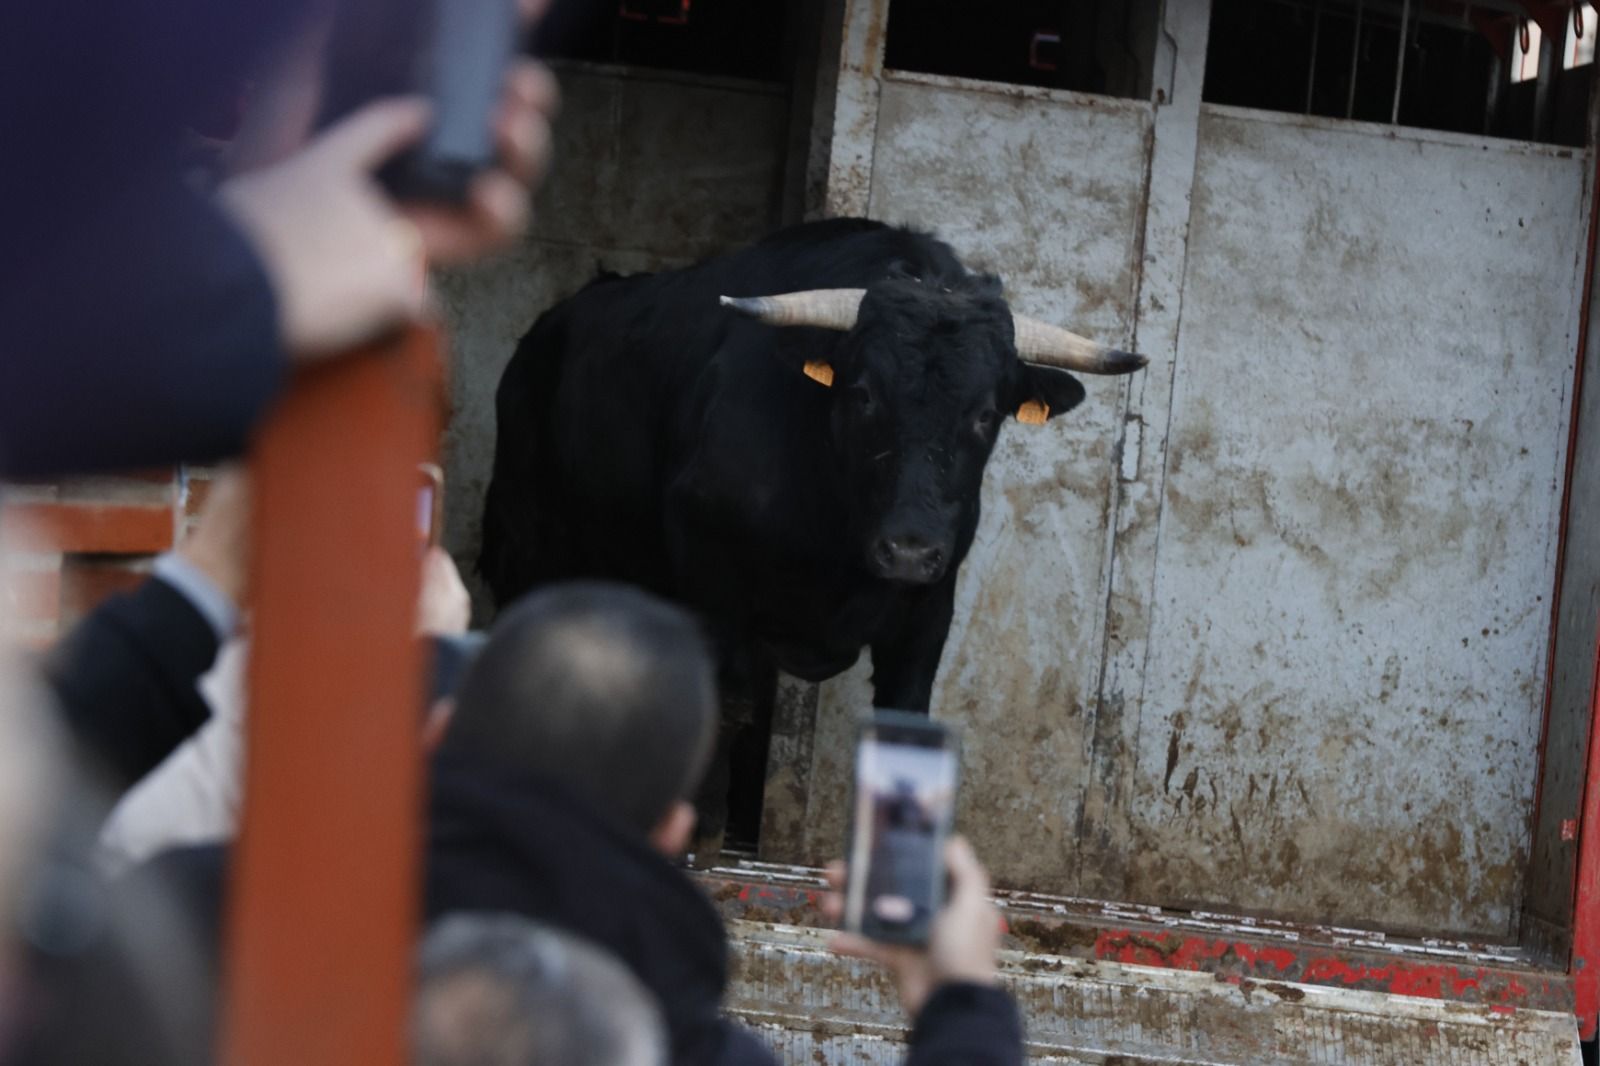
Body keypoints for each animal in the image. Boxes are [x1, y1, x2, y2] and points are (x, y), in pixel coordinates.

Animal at [480, 217, 1145, 857]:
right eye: (865, 393)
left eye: (985, 413)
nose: (906, 551)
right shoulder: (713, 577)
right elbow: (729, 699)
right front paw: (703, 831)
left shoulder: (931, 598)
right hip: (526, 538)